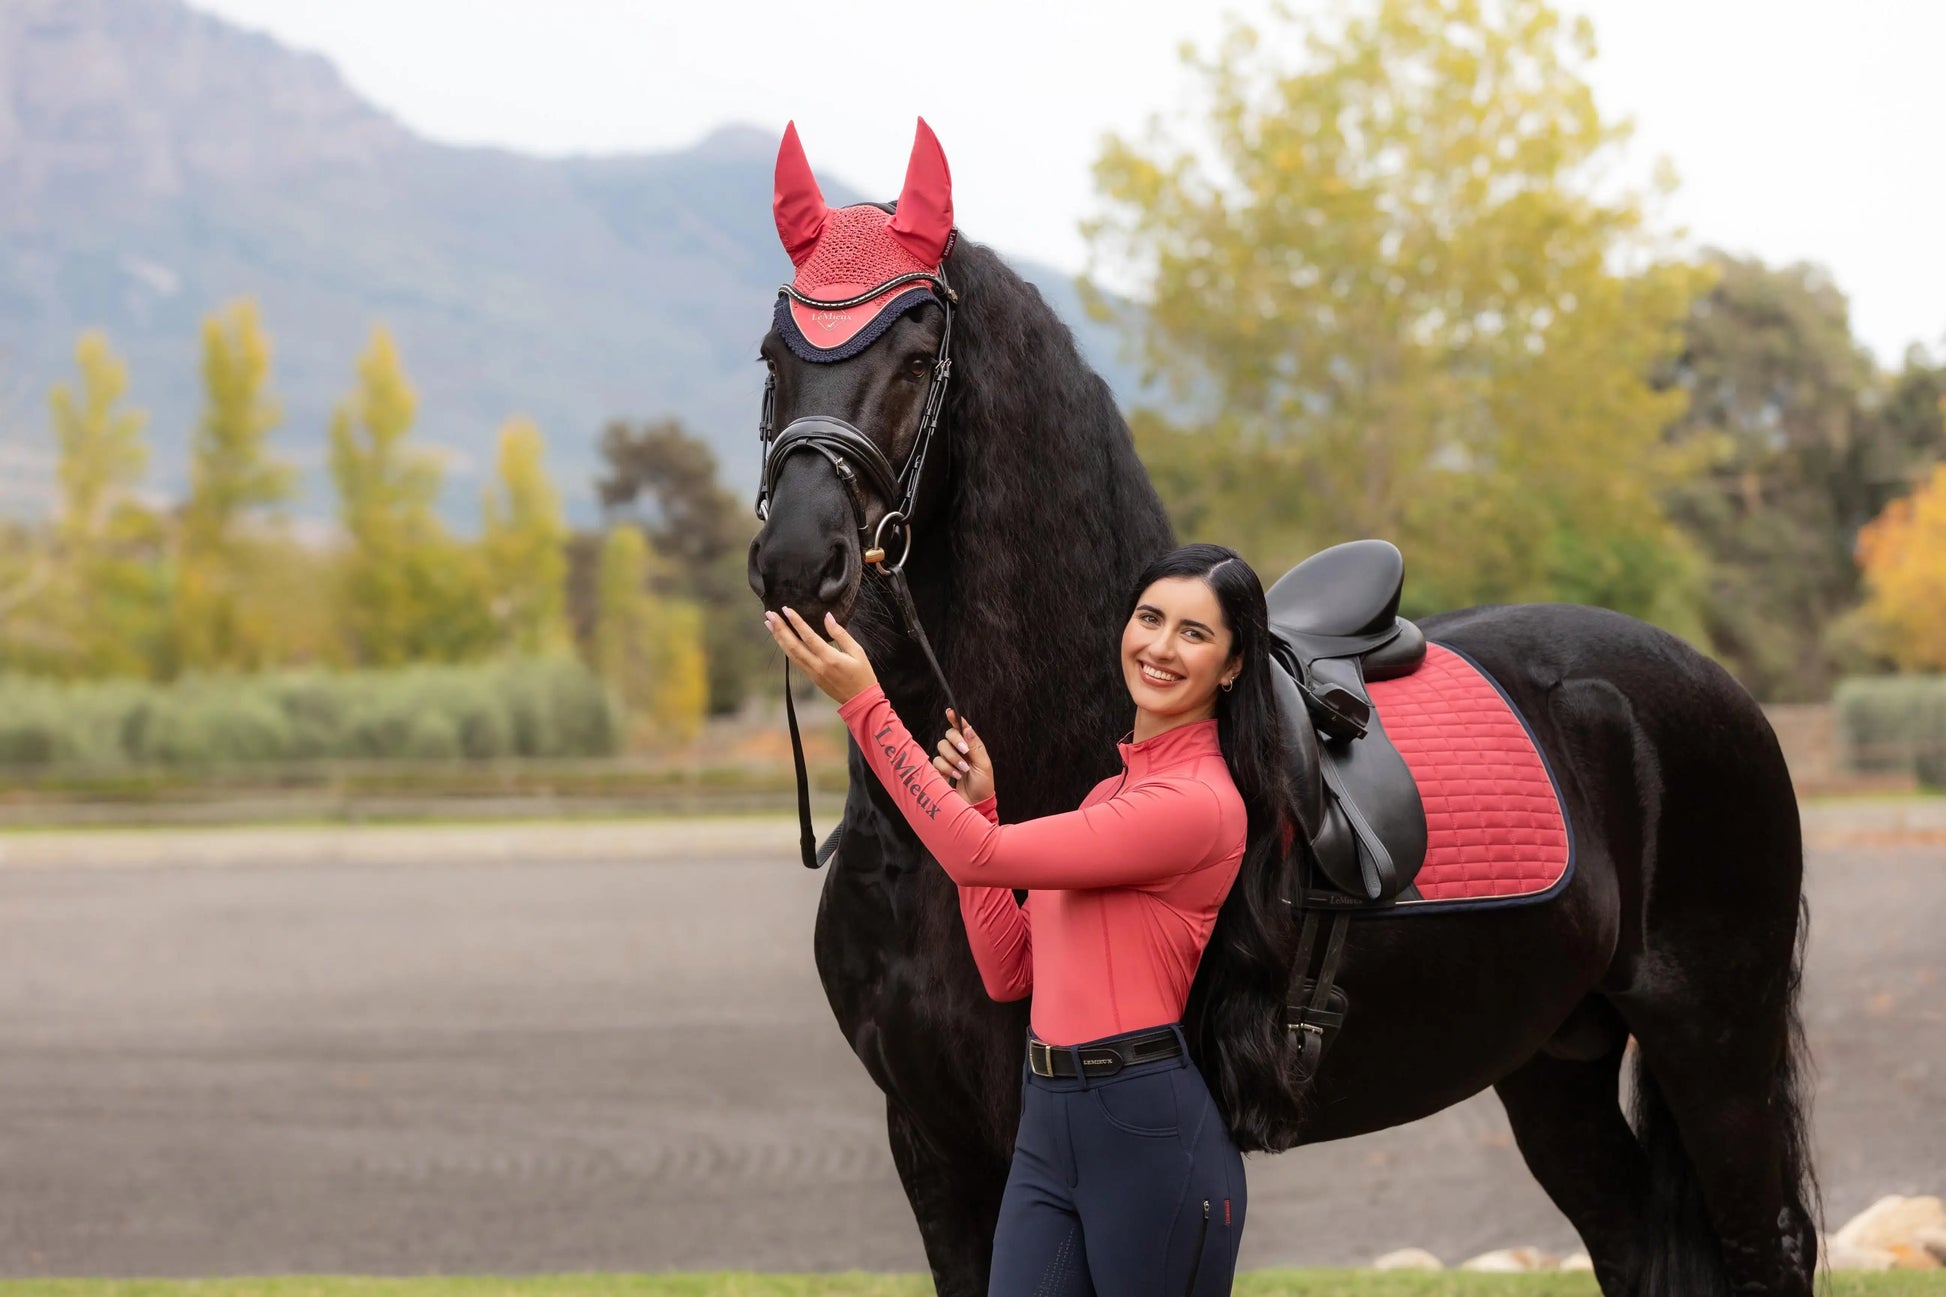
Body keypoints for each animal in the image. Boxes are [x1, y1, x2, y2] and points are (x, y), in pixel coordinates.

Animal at [746, 123, 1816, 1296]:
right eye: (774, 356)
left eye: (916, 353)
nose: (796, 559)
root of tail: (1708, 686)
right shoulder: (932, 1142)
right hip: (1554, 1055)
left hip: (1713, 1046)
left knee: (1769, 1248)